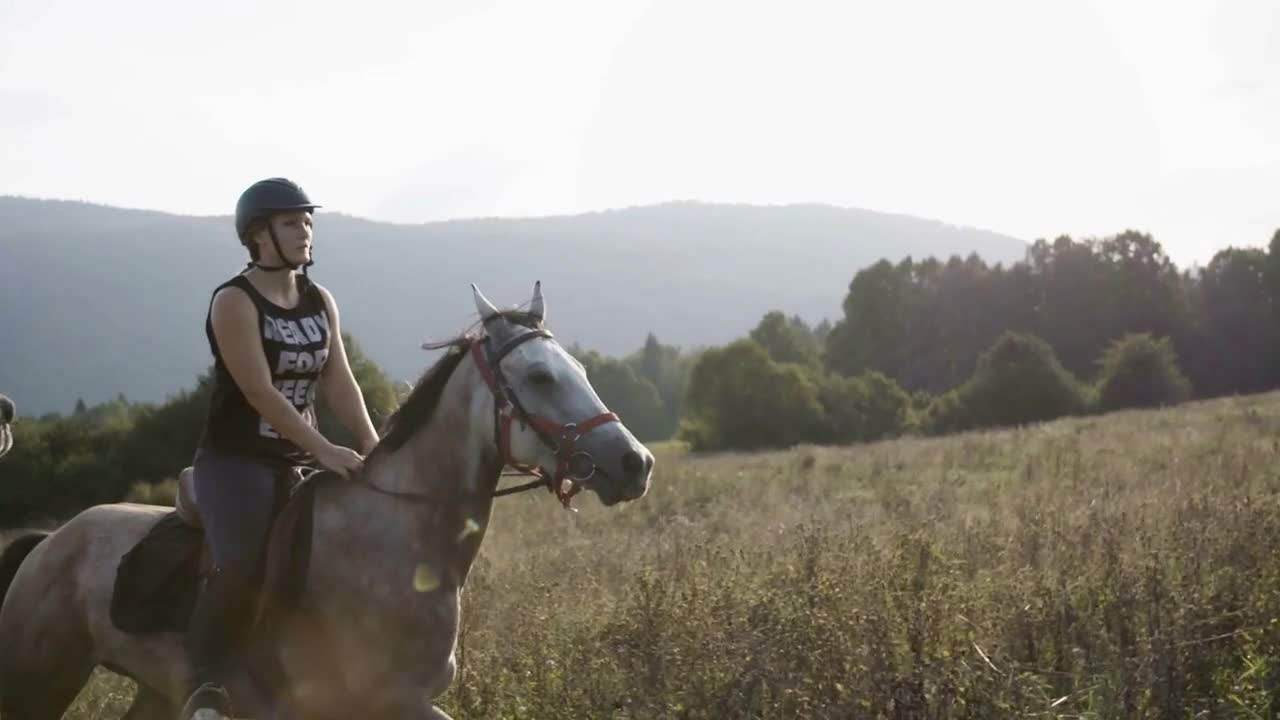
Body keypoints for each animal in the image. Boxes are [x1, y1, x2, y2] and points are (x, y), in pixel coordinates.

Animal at [0, 284, 655, 717]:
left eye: (579, 368)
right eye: (541, 378)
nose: (636, 464)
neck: (400, 537)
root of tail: (51, 541)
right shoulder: (391, 699)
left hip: (155, 690)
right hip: (40, 680)